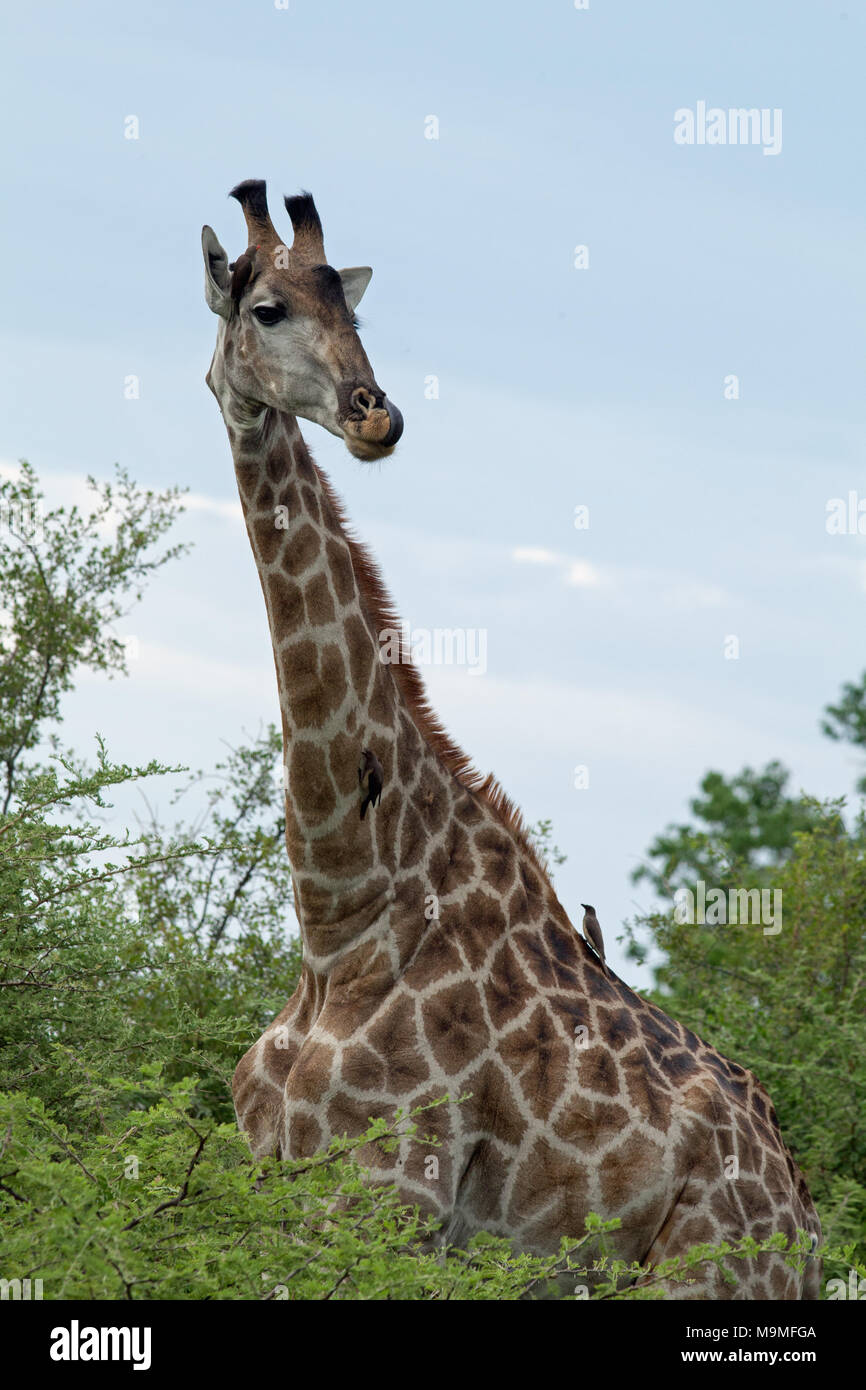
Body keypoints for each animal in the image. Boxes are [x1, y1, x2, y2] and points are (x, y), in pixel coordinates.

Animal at [202, 179, 817, 1295]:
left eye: (352, 307)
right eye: (266, 309)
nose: (374, 414)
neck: (341, 914)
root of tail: (807, 1221)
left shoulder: (385, 1202)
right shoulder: (274, 1185)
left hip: (694, 1275)